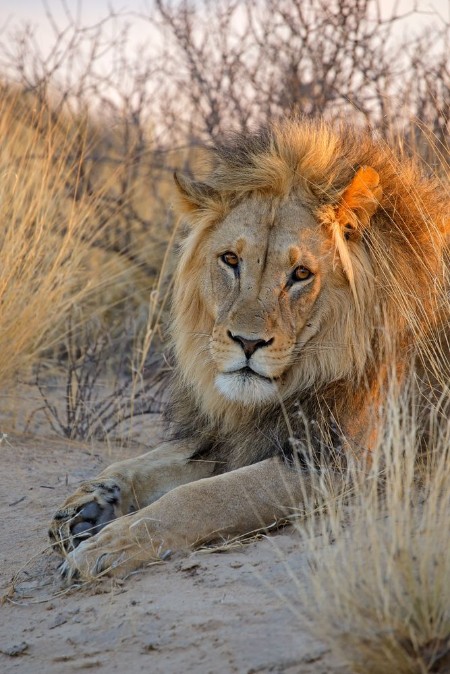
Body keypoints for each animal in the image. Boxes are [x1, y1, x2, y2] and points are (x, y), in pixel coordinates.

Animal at [49, 118, 448, 580]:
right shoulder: (234, 433)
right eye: (230, 260)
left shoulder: (342, 461)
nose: (247, 342)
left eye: (301, 274)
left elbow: (201, 497)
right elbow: (149, 461)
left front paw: (110, 544)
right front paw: (89, 503)